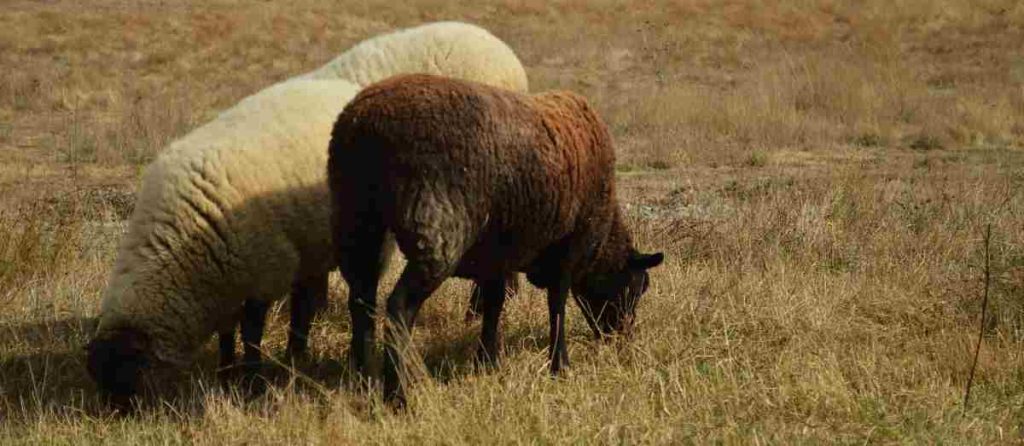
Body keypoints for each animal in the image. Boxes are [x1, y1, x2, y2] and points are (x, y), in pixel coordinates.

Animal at [88, 20, 532, 405]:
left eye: (124, 374)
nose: (119, 415)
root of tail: (497, 44)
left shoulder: (262, 269)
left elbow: (251, 329)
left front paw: (250, 378)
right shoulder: (233, 274)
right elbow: (232, 329)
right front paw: (228, 371)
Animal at [325, 72, 663, 405]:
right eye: (637, 287)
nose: (621, 340)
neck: (602, 239)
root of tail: (366, 122)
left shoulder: (497, 255)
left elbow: (494, 305)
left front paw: (487, 362)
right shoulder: (569, 248)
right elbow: (557, 305)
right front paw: (560, 365)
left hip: (356, 223)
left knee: (361, 303)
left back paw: (364, 382)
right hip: (437, 229)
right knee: (398, 309)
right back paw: (399, 395)